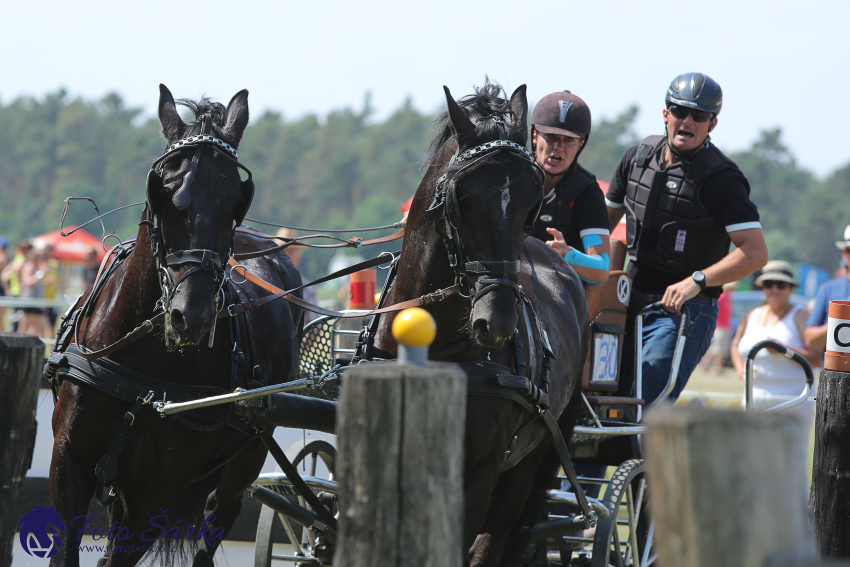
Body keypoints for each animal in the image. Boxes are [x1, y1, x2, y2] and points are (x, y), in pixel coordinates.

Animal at [48, 85, 304, 567]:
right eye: (164, 191)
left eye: (235, 201)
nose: (193, 316)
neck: (140, 367)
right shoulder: (68, 461)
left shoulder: (157, 489)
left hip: (249, 451)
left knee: (220, 513)